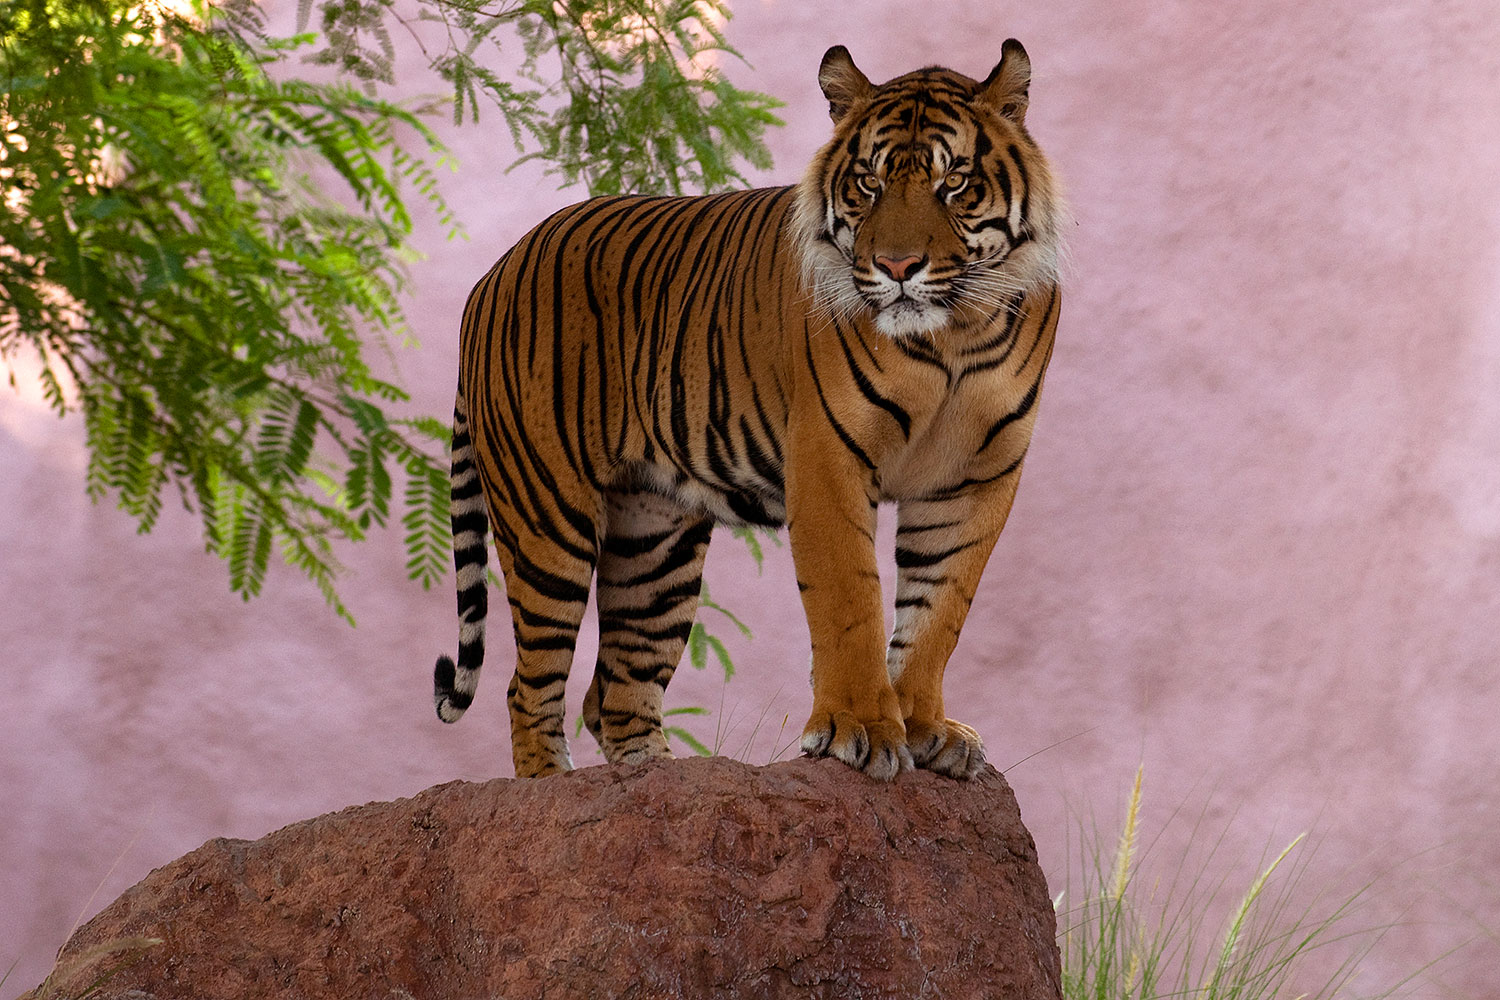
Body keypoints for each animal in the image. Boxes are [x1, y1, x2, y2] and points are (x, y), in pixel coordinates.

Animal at [433, 39, 1064, 781]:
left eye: (955, 183)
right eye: (869, 183)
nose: (897, 265)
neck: (953, 334)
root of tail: (492, 271)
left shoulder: (973, 479)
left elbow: (939, 612)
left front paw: (926, 729)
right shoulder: (826, 459)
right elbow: (849, 599)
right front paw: (861, 729)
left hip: (655, 541)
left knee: (615, 689)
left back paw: (660, 779)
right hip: (547, 513)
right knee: (529, 687)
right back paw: (552, 790)